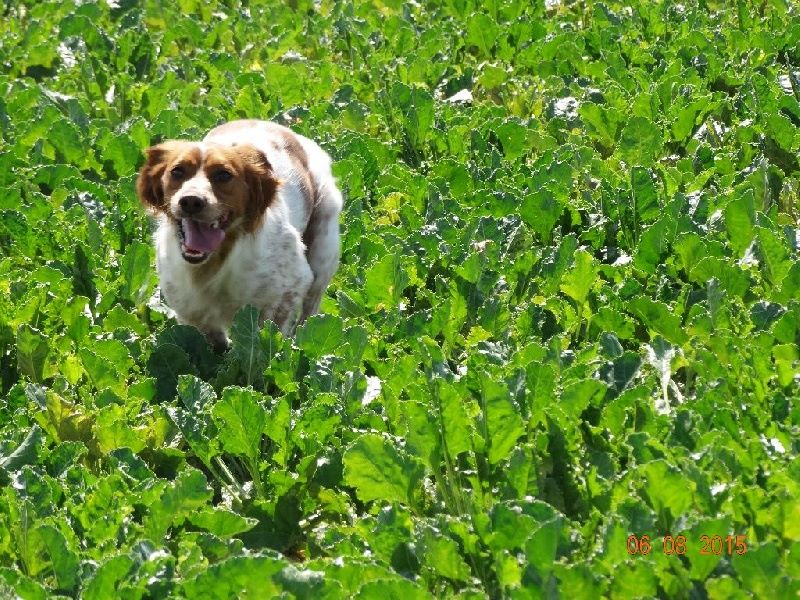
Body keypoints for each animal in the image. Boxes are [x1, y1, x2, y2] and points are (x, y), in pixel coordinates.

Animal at [136, 119, 342, 350]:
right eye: (177, 171)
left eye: (224, 174)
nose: (191, 201)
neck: (215, 261)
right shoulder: (191, 311)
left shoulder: (290, 287)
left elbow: (268, 338)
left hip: (323, 251)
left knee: (310, 311)